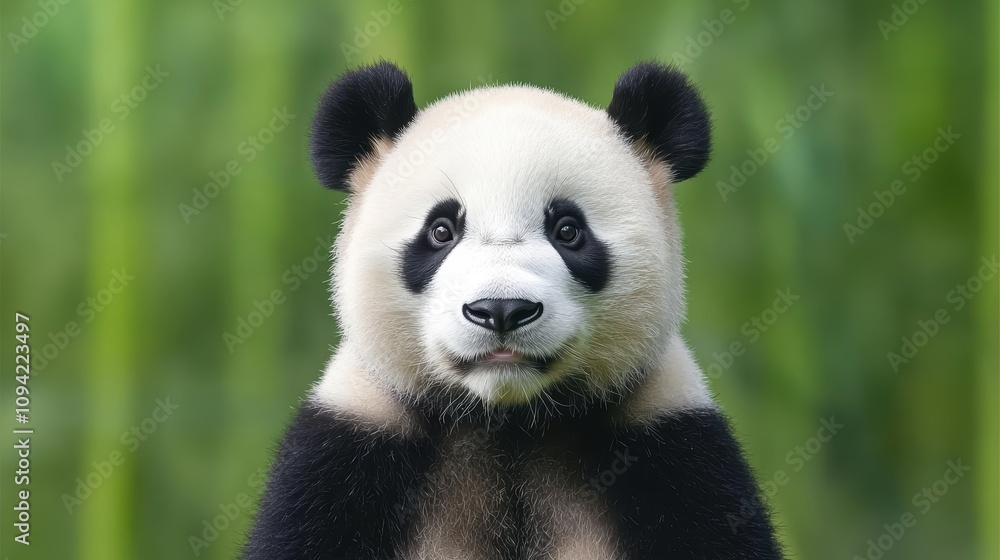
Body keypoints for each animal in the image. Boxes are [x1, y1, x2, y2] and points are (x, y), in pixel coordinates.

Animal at [242, 61, 783, 559]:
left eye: (568, 230)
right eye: (441, 230)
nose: (501, 309)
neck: (508, 422)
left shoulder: (672, 445)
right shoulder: (351, 449)